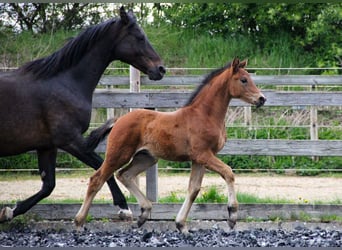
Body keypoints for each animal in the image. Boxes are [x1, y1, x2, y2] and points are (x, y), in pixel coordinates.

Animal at [0, 5, 166, 222]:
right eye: (139, 37)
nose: (161, 69)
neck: (65, 82)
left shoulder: (47, 145)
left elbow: (48, 186)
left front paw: (9, 211)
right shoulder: (70, 140)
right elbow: (102, 167)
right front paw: (124, 208)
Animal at [75, 57, 268, 233]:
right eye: (243, 80)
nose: (262, 99)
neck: (204, 115)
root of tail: (118, 120)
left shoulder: (199, 159)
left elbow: (193, 189)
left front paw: (181, 224)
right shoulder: (203, 155)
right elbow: (228, 173)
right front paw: (232, 216)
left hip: (146, 158)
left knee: (124, 175)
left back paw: (144, 213)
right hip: (118, 154)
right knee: (97, 179)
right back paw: (79, 222)